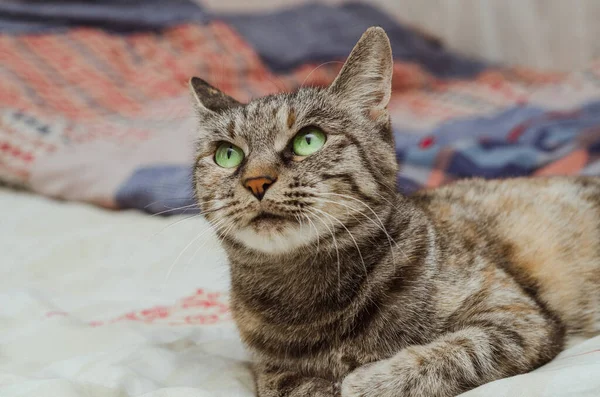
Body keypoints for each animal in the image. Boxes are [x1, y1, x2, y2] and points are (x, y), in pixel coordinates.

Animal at [189, 27, 600, 396]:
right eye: (227, 154)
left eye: (309, 140)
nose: (256, 181)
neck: (310, 298)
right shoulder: (268, 368)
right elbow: (284, 385)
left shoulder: (517, 318)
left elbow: (458, 351)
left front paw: (365, 381)